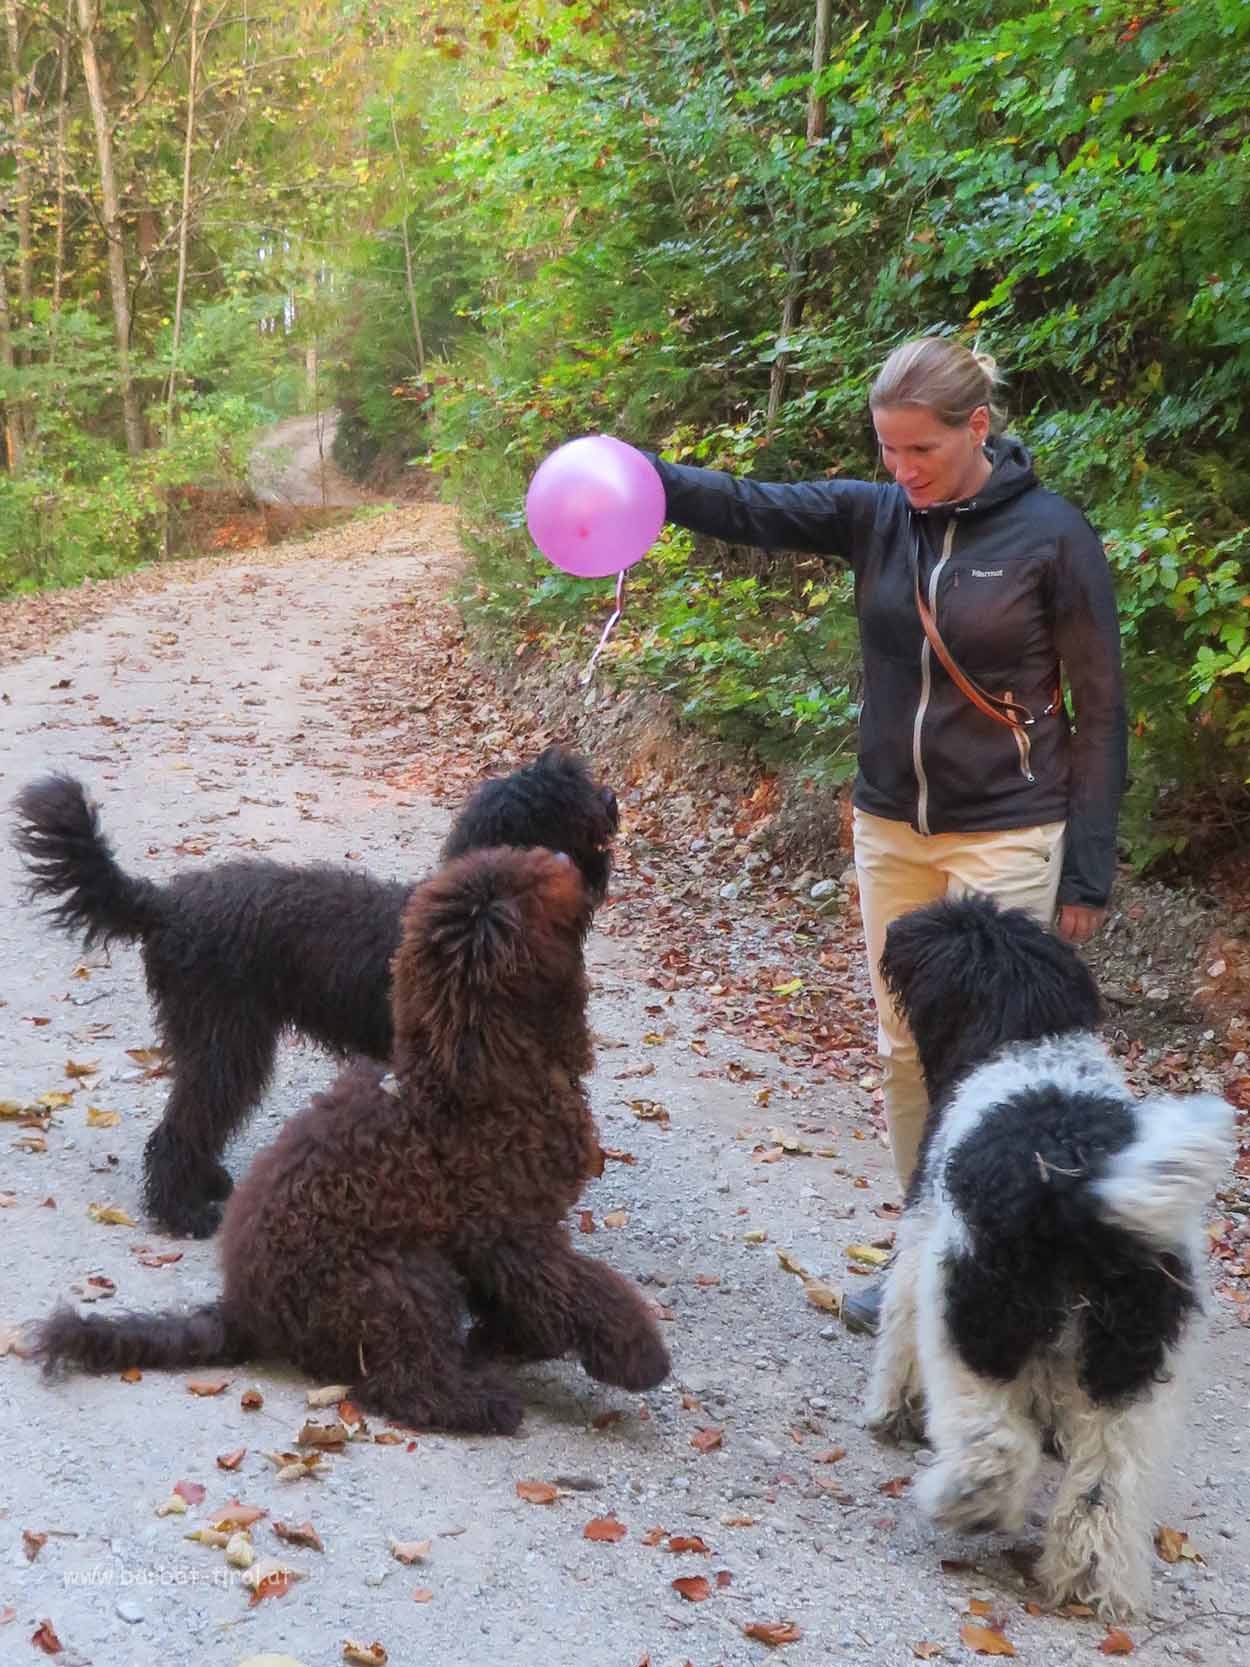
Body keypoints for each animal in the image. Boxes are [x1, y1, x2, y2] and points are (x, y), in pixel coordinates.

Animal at [9, 743, 616, 1240]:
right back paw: (182, 1212)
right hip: (226, 1039)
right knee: (185, 1122)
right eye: (562, 795)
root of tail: (163, 904)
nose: (611, 797)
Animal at [34, 846, 670, 1433]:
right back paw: (478, 1402)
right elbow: (582, 1291)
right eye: (525, 888)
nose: (566, 858)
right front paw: (637, 1355)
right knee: (400, 1381)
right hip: (399, 1274)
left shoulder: (488, 1239)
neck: (480, 1072)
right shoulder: (513, 1234)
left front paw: (510, 1337)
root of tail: (245, 1311)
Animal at [866, 893, 1240, 1620]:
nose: (895, 932)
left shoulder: (922, 1237)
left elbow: (897, 1339)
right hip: (1130, 1363)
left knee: (993, 1444)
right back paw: (1090, 1578)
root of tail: (1078, 1181)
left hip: (976, 1310)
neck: (1028, 1038)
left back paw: (968, 1503)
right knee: (1107, 1486)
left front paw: (890, 1414)